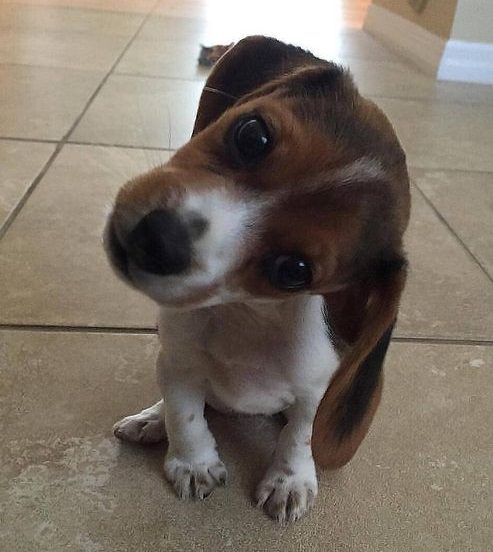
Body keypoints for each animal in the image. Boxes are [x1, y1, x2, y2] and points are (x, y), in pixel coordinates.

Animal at [105, 36, 410, 524]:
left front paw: (290, 480)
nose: (158, 239)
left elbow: (300, 434)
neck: (245, 315)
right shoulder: (177, 361)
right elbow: (184, 412)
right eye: (252, 135)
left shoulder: (313, 392)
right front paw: (192, 461)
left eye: (293, 271)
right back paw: (151, 419)